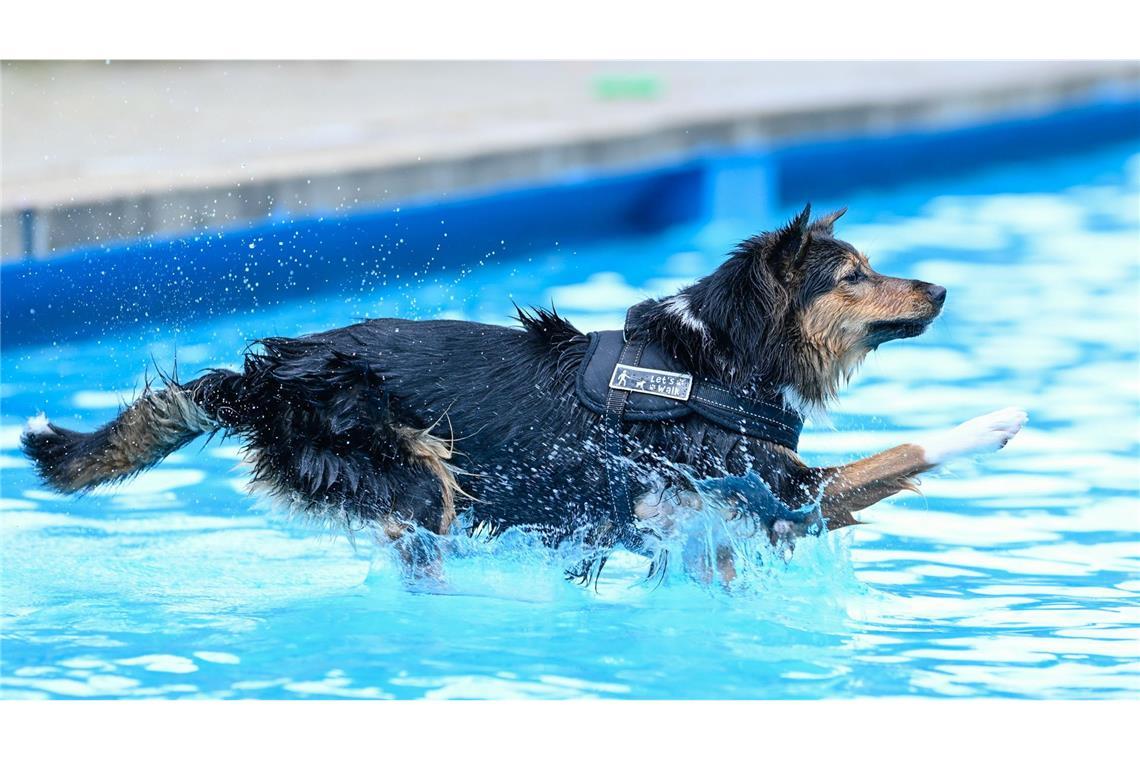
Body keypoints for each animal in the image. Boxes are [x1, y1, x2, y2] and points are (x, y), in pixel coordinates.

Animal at [22, 205, 1030, 587]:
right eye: (855, 276)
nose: (943, 291)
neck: (718, 360)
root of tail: (266, 372)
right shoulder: (765, 490)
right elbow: (903, 451)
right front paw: (1000, 418)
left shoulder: (731, 511)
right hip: (415, 473)